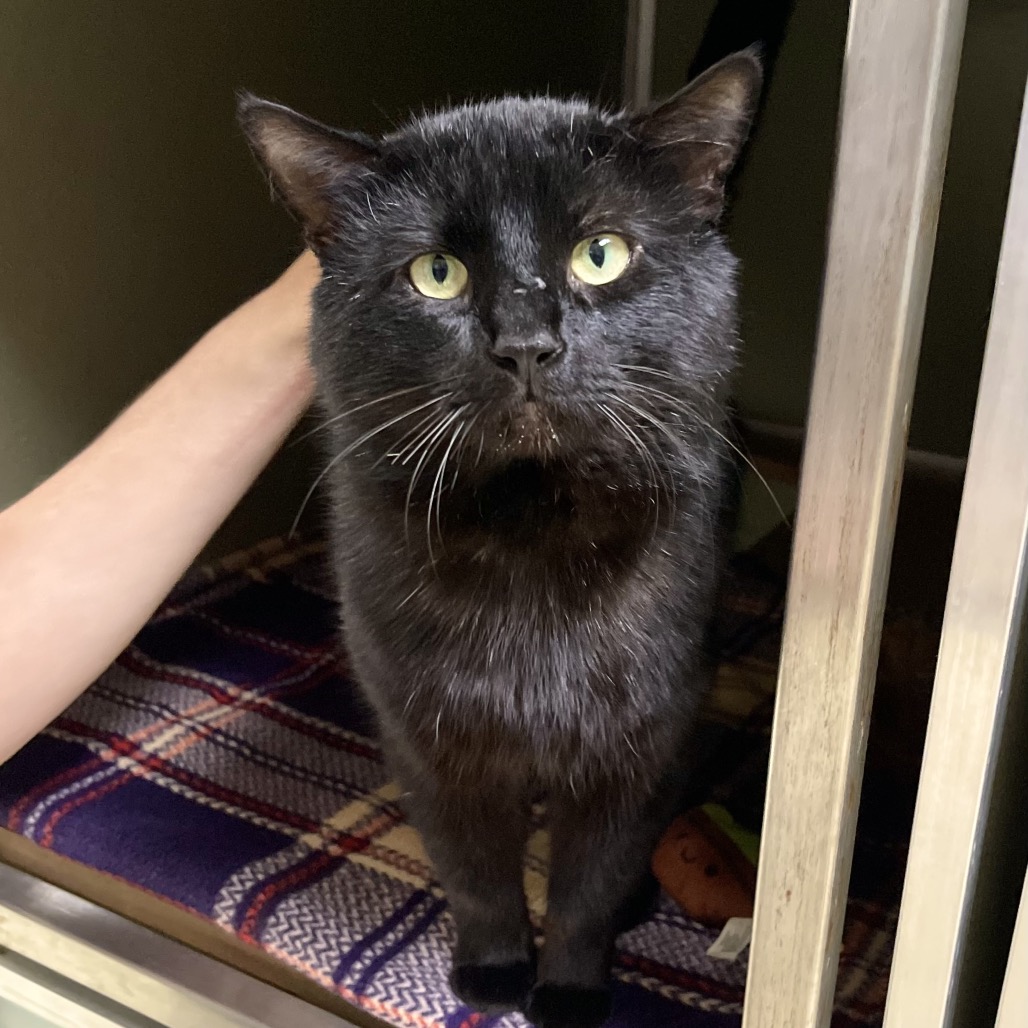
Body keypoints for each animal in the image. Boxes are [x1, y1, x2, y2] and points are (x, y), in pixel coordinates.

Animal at [240, 48, 761, 1028]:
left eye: (601, 253)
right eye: (436, 272)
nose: (525, 343)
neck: (531, 539)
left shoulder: (635, 749)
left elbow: (589, 884)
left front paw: (569, 989)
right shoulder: (432, 744)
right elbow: (475, 873)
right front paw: (491, 971)